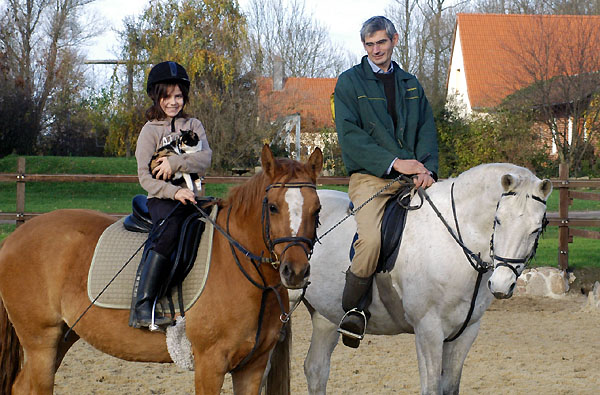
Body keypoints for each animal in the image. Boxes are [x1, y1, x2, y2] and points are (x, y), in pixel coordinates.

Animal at [0, 146, 324, 395]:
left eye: (317, 209)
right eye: (272, 207)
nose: (295, 272)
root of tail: (14, 237)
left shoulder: (252, 368)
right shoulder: (210, 364)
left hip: (62, 338)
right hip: (41, 341)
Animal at [292, 164, 552, 395]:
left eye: (536, 229)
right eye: (498, 220)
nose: (501, 285)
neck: (453, 241)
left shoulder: (465, 332)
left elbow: (450, 388)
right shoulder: (429, 330)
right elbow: (431, 388)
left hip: (325, 316)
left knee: (316, 369)